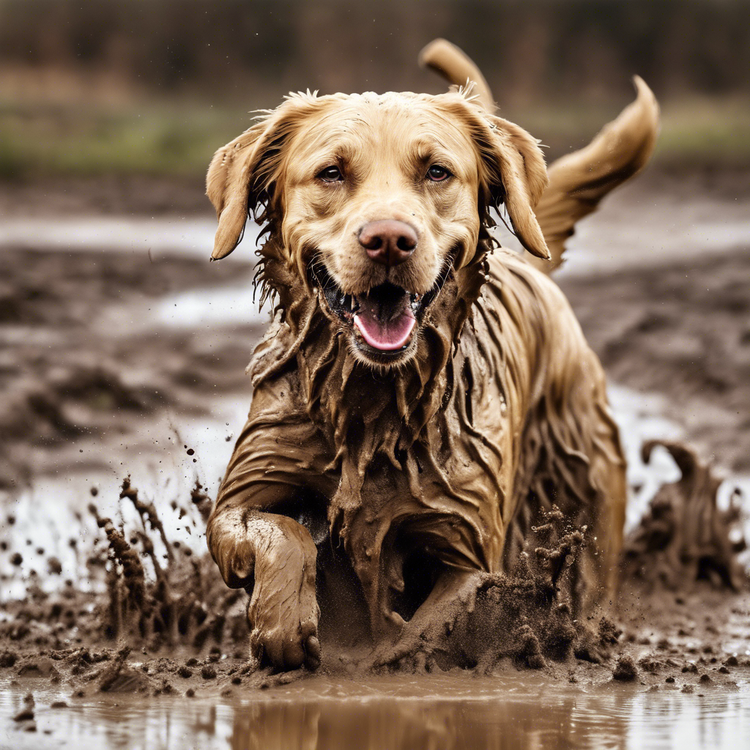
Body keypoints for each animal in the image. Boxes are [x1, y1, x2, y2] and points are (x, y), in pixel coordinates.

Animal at [204, 38, 656, 672]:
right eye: (331, 172)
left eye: (437, 171)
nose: (389, 240)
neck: (372, 403)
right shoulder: (247, 487)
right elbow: (277, 532)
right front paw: (284, 622)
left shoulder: (466, 542)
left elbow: (431, 625)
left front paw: (387, 660)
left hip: (589, 494)